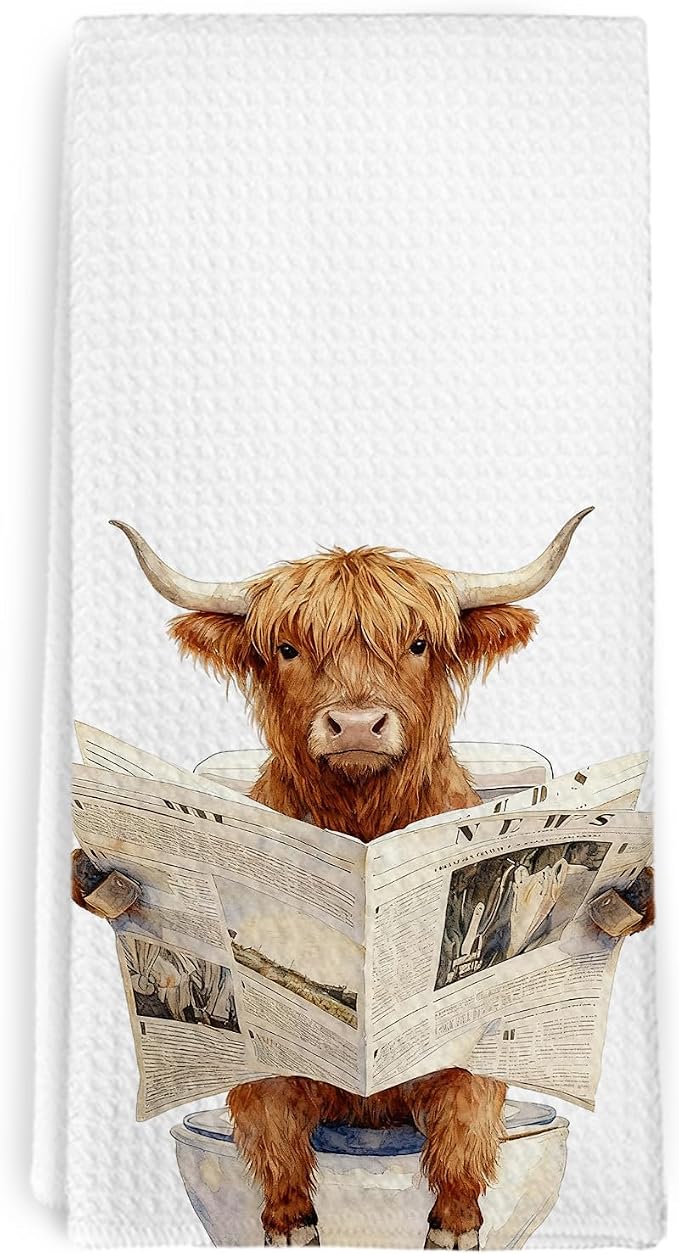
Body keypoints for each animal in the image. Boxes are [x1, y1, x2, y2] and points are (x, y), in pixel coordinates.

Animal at [72, 509, 653, 1250]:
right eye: (288, 648)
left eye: (417, 643)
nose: (354, 724)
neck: (363, 815)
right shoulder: (265, 1056)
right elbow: (268, 1119)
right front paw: (289, 1222)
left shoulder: (463, 1041)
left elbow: (468, 1113)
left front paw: (455, 1224)